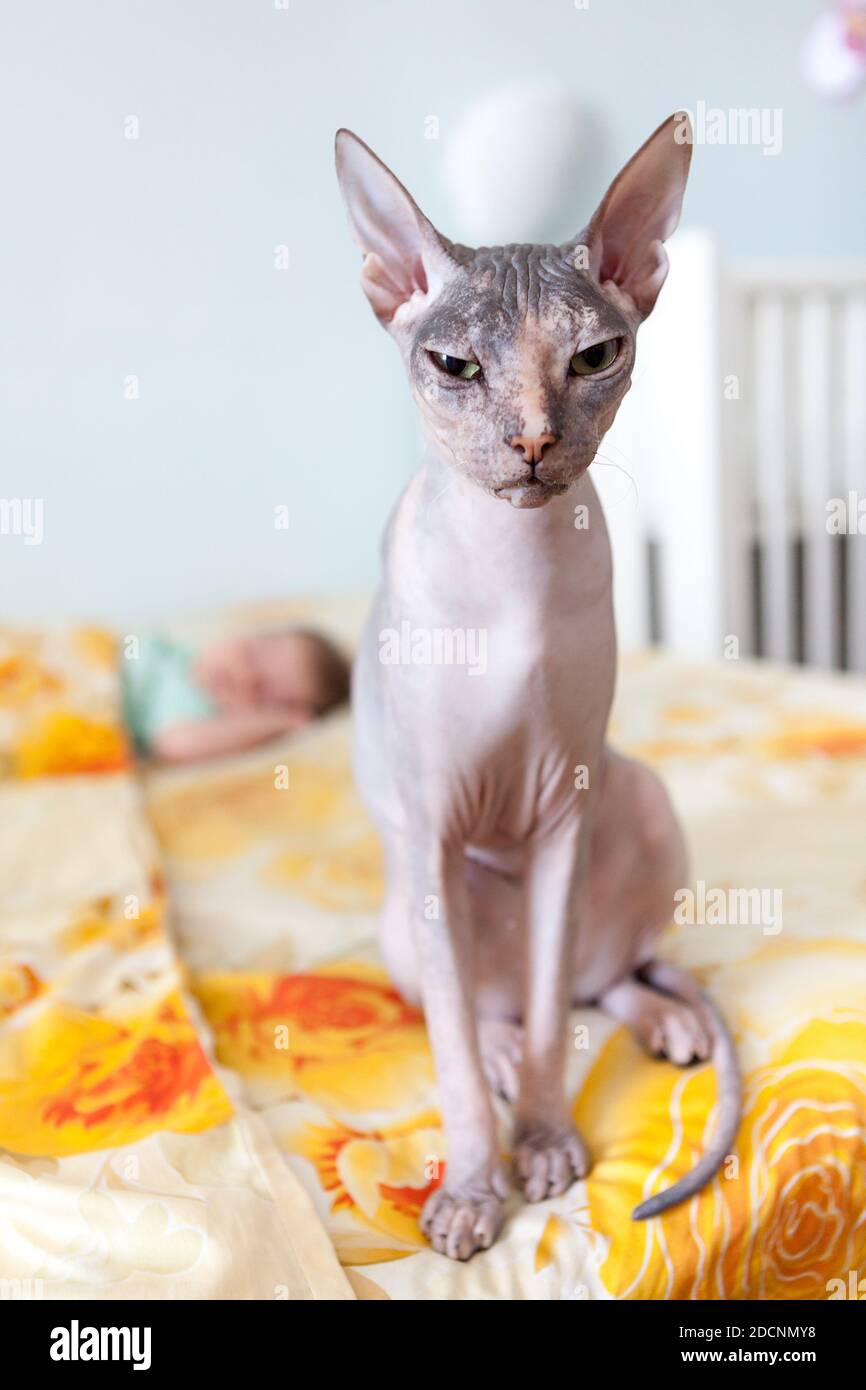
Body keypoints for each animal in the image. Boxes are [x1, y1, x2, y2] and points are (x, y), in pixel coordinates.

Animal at [335, 111, 739, 1262]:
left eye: (595, 357)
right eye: (455, 365)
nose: (530, 442)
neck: (513, 573)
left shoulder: (564, 808)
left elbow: (565, 1000)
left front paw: (548, 1140)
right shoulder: (431, 824)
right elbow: (453, 1057)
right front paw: (479, 1184)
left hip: (632, 790)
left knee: (595, 980)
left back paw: (660, 1019)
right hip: (406, 900)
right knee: (483, 1010)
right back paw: (512, 1051)